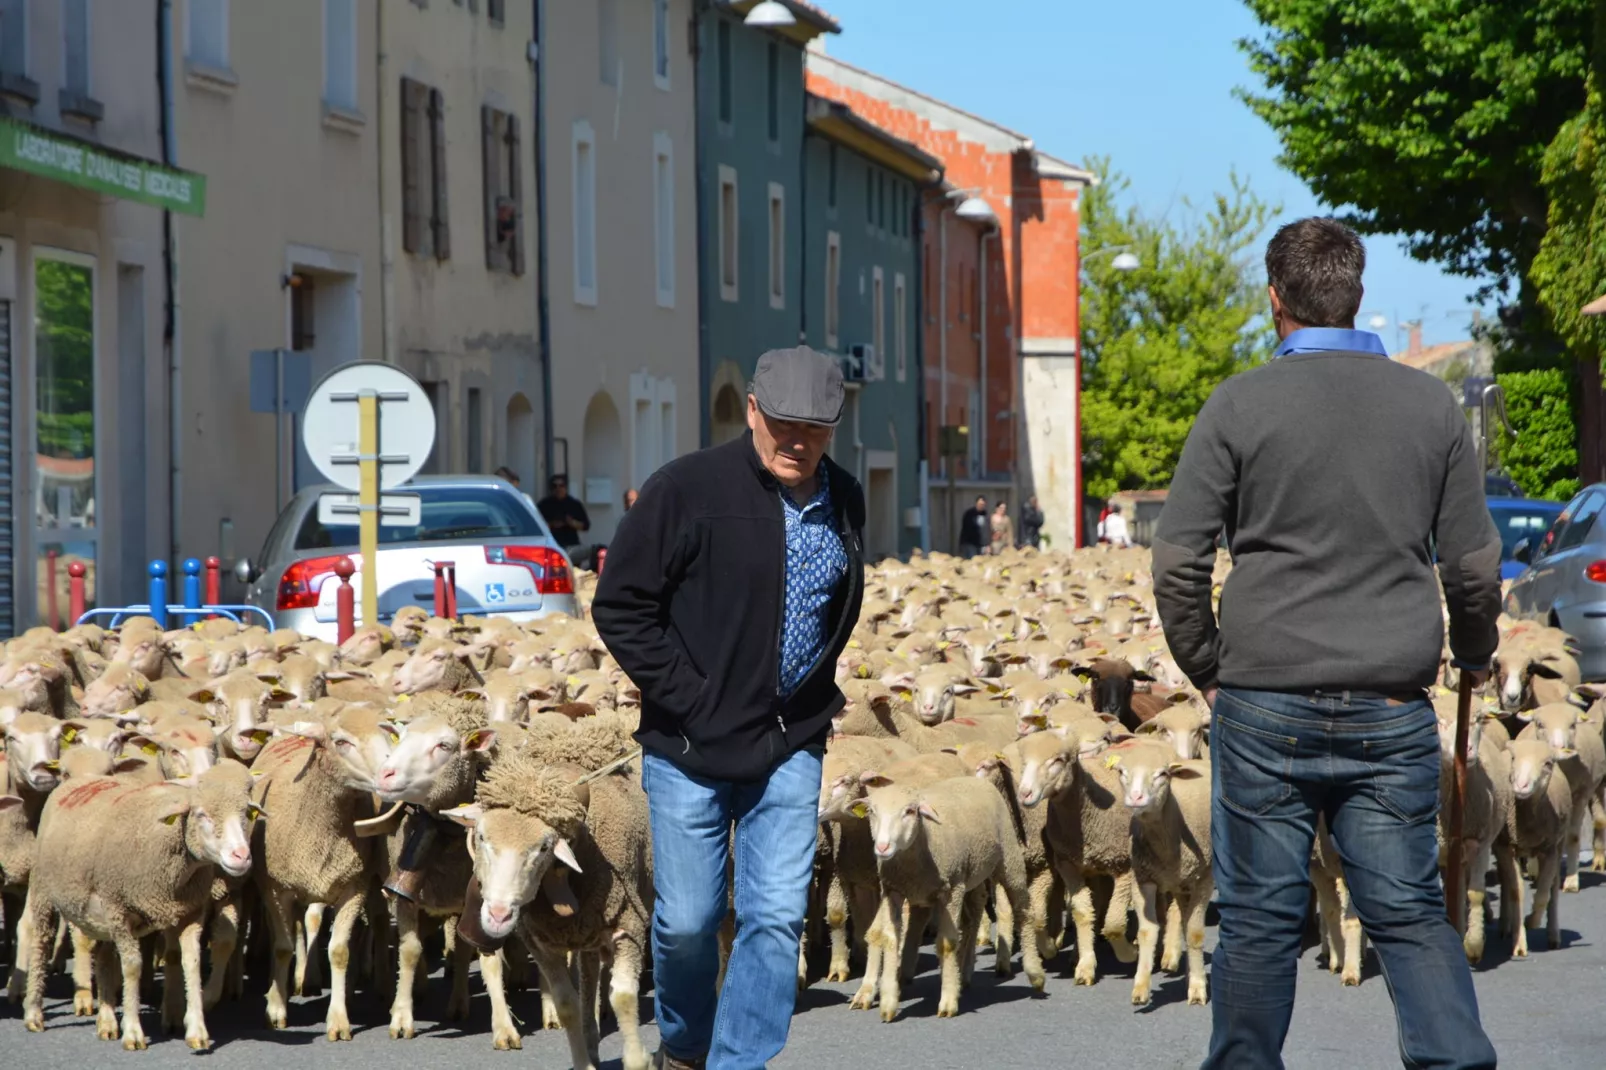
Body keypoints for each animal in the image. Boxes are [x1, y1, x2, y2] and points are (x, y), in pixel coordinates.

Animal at [18, 758, 258, 1047]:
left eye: (246, 812)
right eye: (201, 814)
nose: (241, 856)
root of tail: (78, 781)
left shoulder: (189, 912)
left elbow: (191, 962)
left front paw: (197, 1031)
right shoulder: (120, 909)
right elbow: (132, 967)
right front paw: (133, 1032)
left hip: (100, 913)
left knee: (104, 957)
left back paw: (107, 1021)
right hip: (44, 889)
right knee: (41, 941)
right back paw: (34, 1013)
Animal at [440, 745, 652, 1060]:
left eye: (543, 847)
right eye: (481, 836)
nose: (498, 915)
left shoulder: (630, 927)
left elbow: (624, 997)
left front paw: (638, 1059)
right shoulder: (542, 944)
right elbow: (567, 1005)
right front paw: (584, 1060)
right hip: (588, 935)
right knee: (589, 975)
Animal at [854, 767, 1040, 1015]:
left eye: (910, 811)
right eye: (872, 812)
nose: (883, 847)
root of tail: (975, 779)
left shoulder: (952, 890)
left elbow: (947, 942)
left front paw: (948, 1000)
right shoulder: (893, 890)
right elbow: (889, 937)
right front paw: (888, 1002)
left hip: (1008, 860)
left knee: (1022, 911)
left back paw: (1035, 974)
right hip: (968, 878)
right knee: (972, 915)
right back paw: (959, 973)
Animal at [1111, 742, 1207, 1002]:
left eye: (1162, 774)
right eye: (1121, 771)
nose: (1136, 797)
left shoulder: (1205, 878)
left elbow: (1195, 933)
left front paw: (1198, 988)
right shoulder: (1142, 878)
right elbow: (1147, 931)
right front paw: (1141, 986)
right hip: (1178, 884)